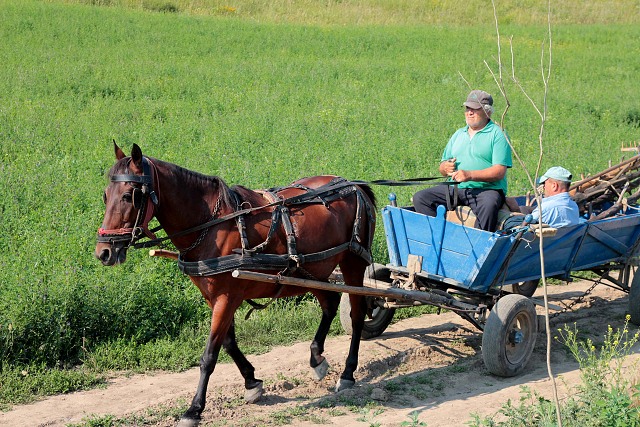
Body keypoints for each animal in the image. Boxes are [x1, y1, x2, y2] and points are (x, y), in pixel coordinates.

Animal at [95, 143, 376, 424]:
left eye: (129, 196)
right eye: (106, 195)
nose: (104, 252)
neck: (212, 226)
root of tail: (354, 185)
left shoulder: (227, 297)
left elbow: (209, 355)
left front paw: (194, 409)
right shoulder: (214, 297)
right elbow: (228, 343)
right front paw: (252, 382)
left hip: (352, 263)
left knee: (357, 314)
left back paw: (348, 373)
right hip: (311, 270)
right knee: (330, 303)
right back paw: (317, 357)